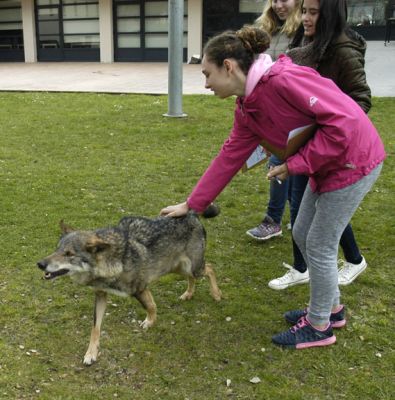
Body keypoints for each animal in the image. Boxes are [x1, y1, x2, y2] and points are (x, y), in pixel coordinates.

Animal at [36, 206, 223, 366]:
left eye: (69, 254)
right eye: (57, 249)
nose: (40, 264)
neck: (112, 262)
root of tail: (191, 214)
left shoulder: (140, 288)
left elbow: (151, 306)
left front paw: (150, 322)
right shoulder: (101, 295)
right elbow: (95, 328)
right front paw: (91, 353)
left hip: (192, 267)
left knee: (210, 268)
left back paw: (216, 293)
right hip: (178, 268)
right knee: (194, 277)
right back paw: (188, 293)